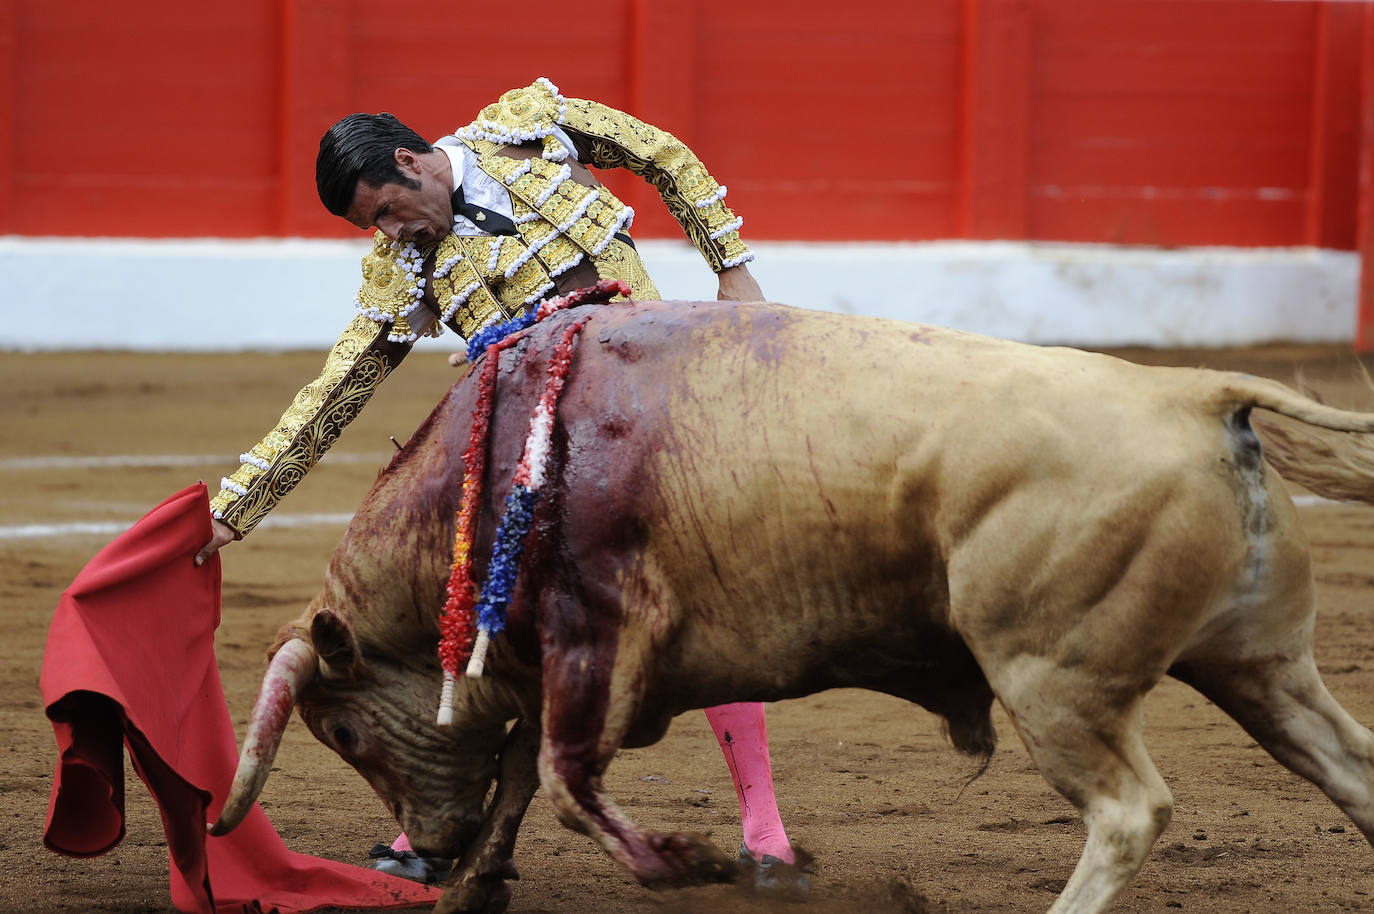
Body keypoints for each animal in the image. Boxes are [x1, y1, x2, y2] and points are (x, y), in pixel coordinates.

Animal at [208, 301, 1374, 912]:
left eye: (346, 731)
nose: (424, 847)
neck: (501, 460)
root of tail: (1192, 390)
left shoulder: (595, 637)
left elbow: (566, 779)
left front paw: (697, 865)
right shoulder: (547, 670)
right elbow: (522, 782)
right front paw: (475, 887)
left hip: (1056, 679)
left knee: (1129, 810)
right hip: (1258, 660)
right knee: (1348, 763)